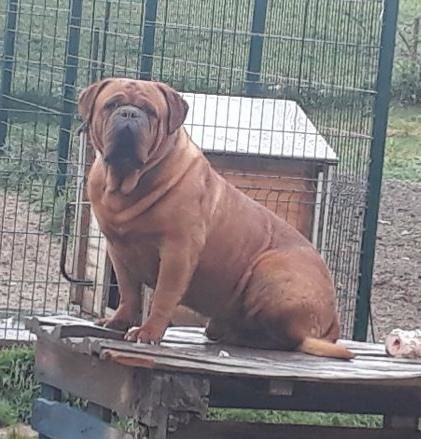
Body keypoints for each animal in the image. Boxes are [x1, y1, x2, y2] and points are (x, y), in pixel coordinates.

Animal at [78, 78, 353, 360]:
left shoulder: (177, 251)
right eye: (112, 105)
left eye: (150, 111)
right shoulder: (118, 249)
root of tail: (333, 322)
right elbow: (128, 293)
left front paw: (148, 332)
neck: (128, 183)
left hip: (270, 270)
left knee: (289, 338)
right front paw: (118, 321)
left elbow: (163, 296)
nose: (129, 114)